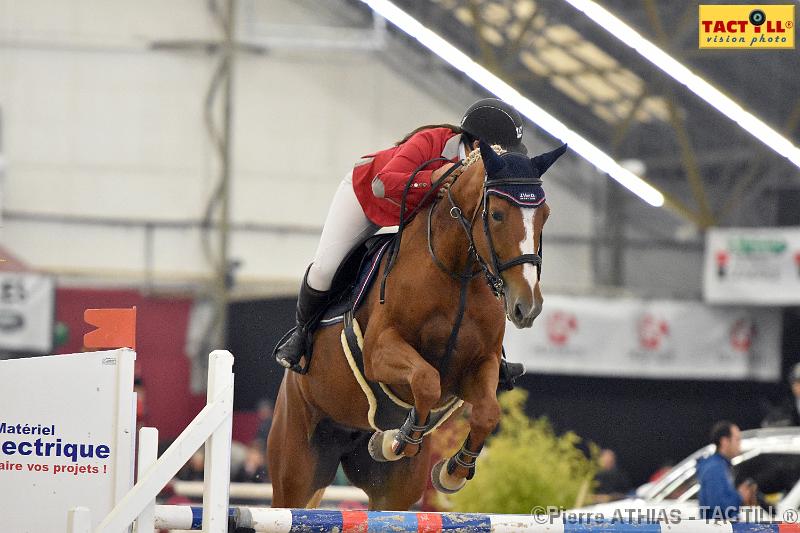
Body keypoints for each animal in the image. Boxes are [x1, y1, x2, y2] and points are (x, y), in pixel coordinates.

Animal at [268, 139, 564, 510]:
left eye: (545, 215)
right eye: (496, 215)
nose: (528, 306)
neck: (459, 274)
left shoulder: (478, 366)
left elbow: (487, 411)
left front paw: (453, 471)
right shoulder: (380, 352)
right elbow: (425, 380)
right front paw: (398, 439)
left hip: (392, 491)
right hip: (296, 468)